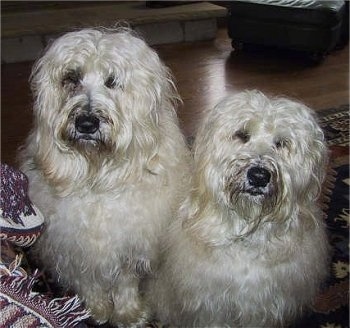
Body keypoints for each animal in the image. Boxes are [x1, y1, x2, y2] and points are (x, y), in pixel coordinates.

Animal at [20, 26, 190, 326]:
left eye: (112, 81)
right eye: (71, 78)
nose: (86, 123)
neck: (97, 177)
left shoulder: (127, 247)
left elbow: (124, 284)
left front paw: (128, 314)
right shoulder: (75, 248)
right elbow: (88, 281)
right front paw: (94, 310)